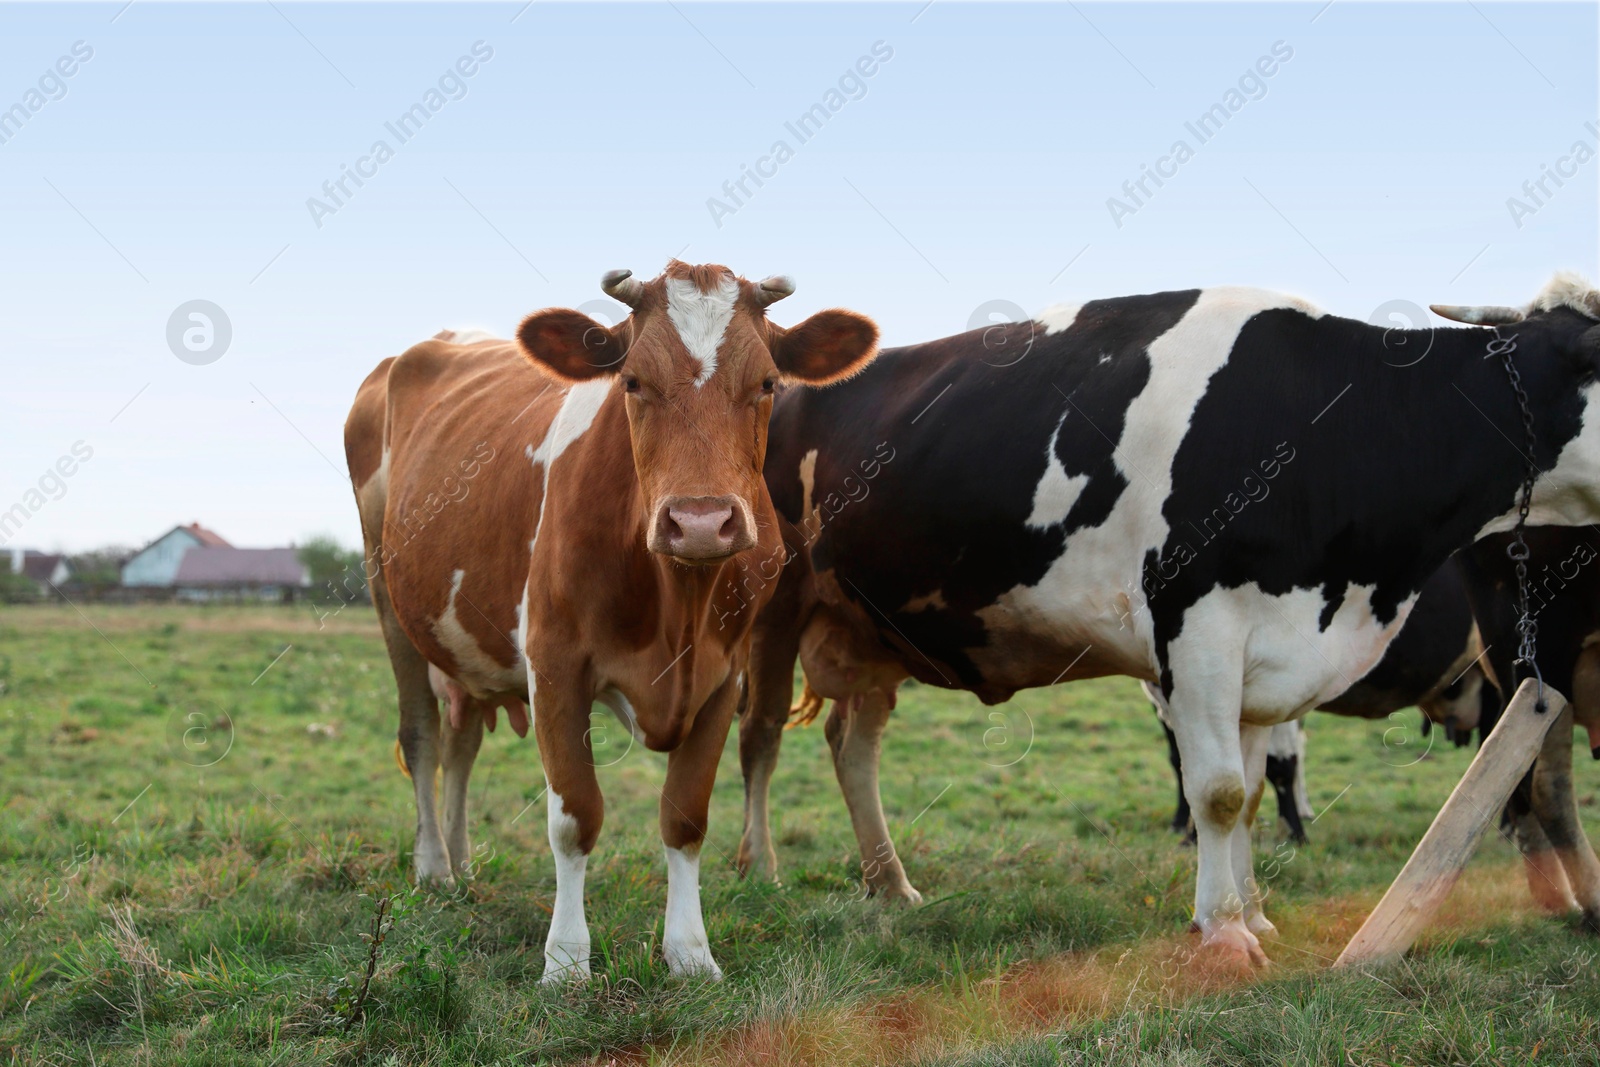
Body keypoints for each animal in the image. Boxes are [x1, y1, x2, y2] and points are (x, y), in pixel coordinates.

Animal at [344, 262, 883, 979]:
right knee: (422, 735)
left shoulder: (724, 677)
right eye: (632, 381)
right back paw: (432, 869)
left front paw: (690, 953)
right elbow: (575, 814)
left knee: (461, 743)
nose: (701, 521)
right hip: (388, 597)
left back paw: (460, 868)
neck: (678, 601)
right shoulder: (554, 665)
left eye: (768, 383)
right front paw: (567, 960)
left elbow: (686, 816)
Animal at [736, 275, 1600, 966]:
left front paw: (1255, 912)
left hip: (869, 625)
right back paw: (759, 870)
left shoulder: (1263, 652)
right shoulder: (1200, 627)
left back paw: (891, 884)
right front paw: (1224, 932)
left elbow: (1247, 794)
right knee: (762, 734)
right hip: (773, 604)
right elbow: (1215, 790)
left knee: (853, 743)